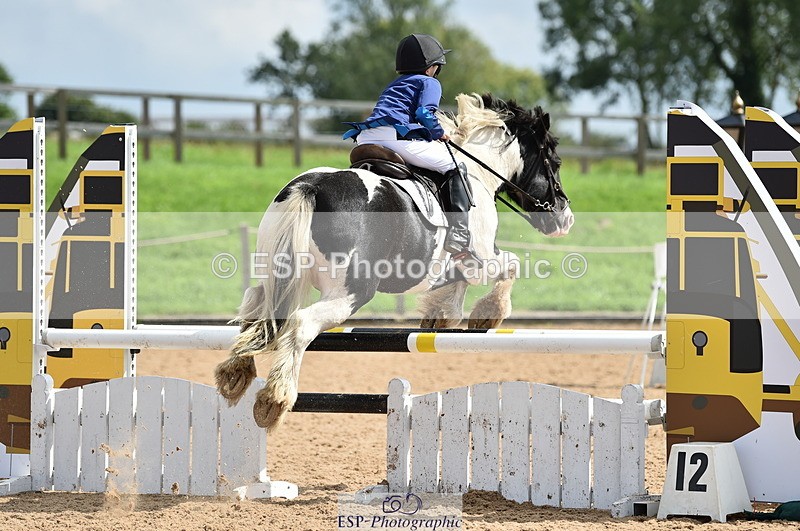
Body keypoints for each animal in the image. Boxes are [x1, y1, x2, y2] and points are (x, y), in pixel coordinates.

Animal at [214, 93, 574, 431]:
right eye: (554, 162)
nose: (565, 218)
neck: (477, 173)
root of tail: (311, 188)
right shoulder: (482, 258)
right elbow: (511, 265)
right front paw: (487, 314)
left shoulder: (454, 265)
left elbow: (456, 283)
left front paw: (441, 315)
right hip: (351, 292)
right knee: (301, 323)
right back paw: (274, 399)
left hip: (278, 273)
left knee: (255, 307)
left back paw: (235, 373)